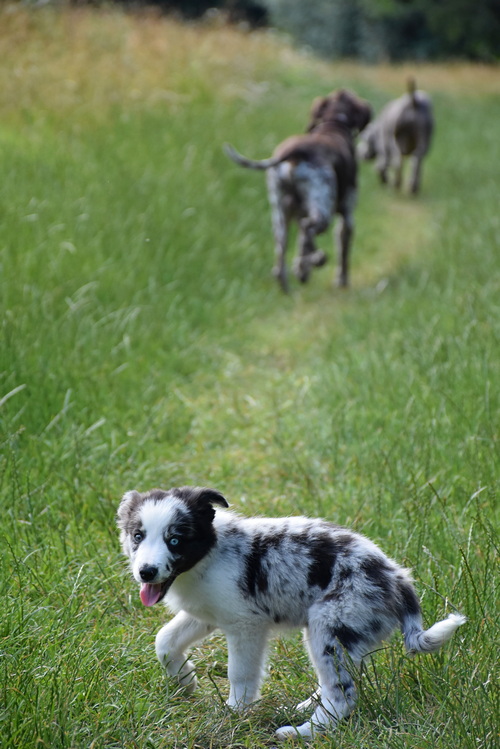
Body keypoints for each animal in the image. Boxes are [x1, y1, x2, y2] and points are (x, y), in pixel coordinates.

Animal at [117, 486, 464, 736]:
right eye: (138, 536)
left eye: (175, 540)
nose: (146, 572)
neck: (209, 556)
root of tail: (397, 579)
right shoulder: (206, 614)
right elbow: (164, 641)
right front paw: (185, 680)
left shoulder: (245, 625)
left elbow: (240, 673)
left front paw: (235, 712)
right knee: (337, 682)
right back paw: (305, 708)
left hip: (329, 626)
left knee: (342, 695)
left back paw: (303, 732)